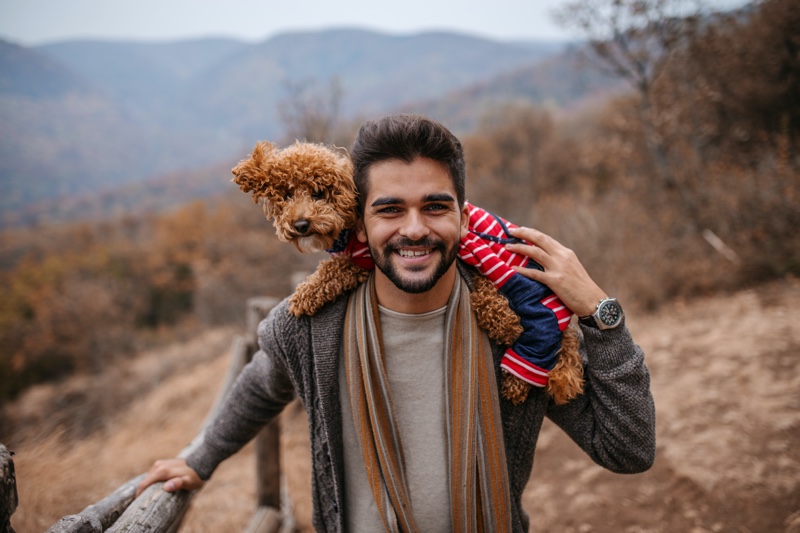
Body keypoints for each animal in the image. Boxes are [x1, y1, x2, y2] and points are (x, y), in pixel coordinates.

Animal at [231, 141, 580, 404]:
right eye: (286, 195)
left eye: (318, 192)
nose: (301, 223)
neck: (348, 225)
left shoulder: (361, 259)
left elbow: (333, 270)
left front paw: (304, 294)